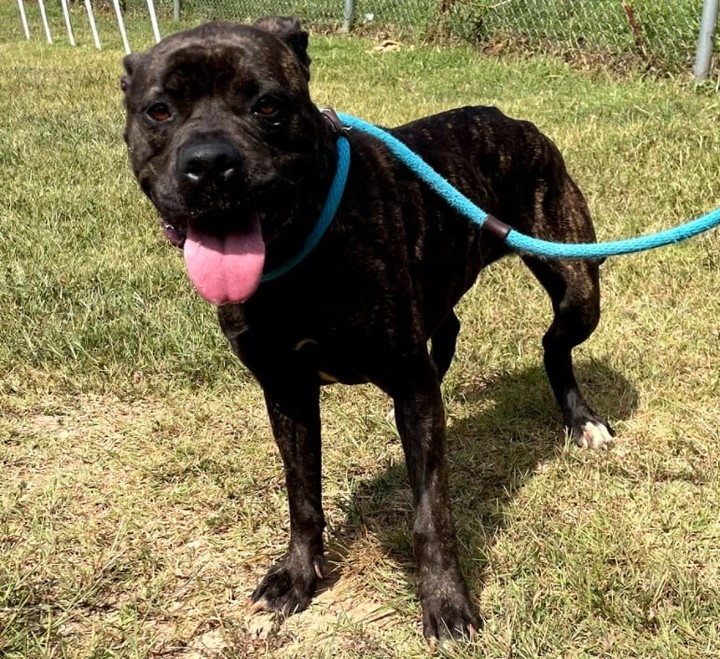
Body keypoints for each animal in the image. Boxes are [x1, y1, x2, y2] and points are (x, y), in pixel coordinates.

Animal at [122, 16, 612, 644]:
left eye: (267, 105)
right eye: (159, 110)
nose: (210, 163)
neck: (298, 255)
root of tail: (514, 119)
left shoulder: (407, 386)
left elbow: (431, 512)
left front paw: (446, 602)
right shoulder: (287, 392)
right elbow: (302, 494)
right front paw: (296, 576)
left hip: (577, 283)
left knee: (553, 344)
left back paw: (582, 421)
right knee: (451, 329)